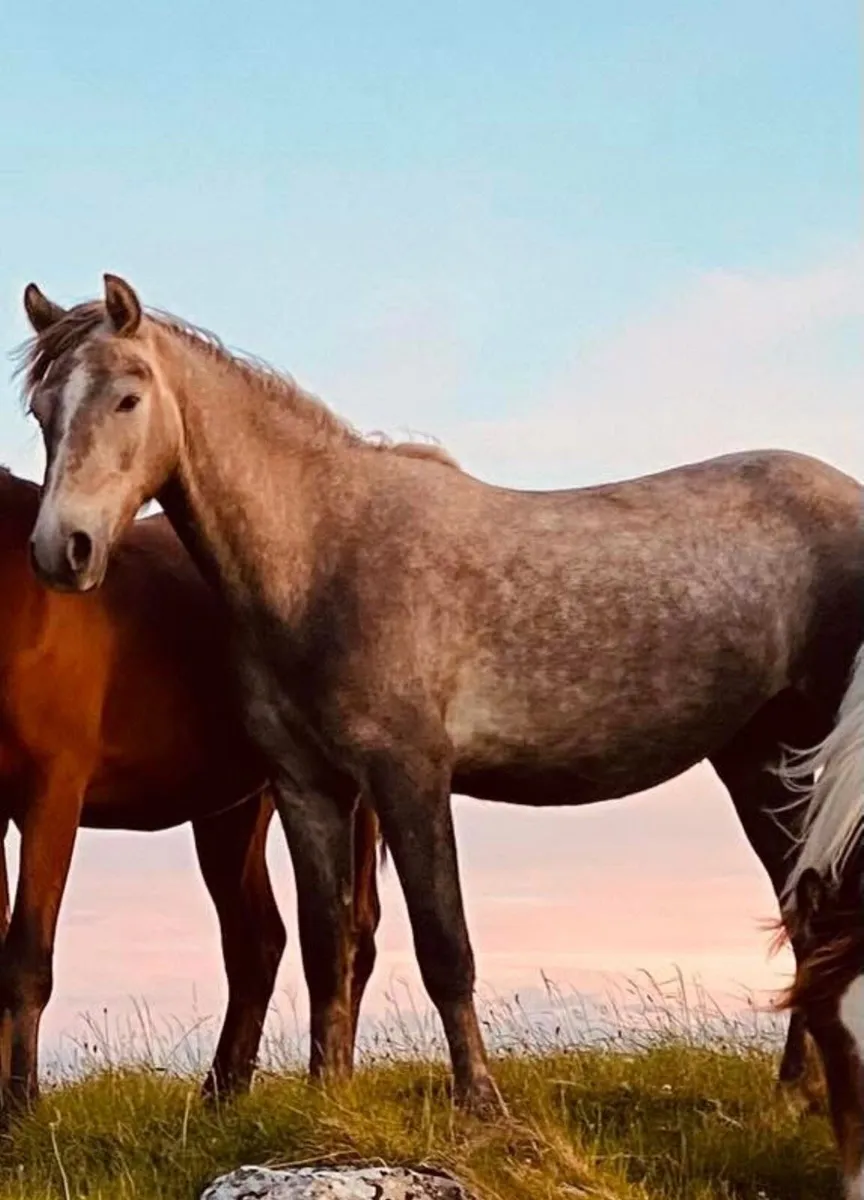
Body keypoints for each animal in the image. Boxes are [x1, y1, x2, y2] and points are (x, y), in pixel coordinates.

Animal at [0, 466, 381, 1111]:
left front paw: (19, 1111)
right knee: (259, 943)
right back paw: (220, 1096)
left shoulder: (51, 793)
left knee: (342, 936)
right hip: (233, 810)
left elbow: (26, 953)